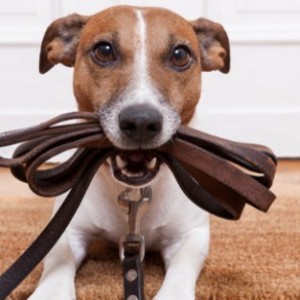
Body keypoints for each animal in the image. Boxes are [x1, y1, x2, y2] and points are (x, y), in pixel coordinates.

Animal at [28, 5, 230, 300]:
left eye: (180, 55)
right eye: (104, 50)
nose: (141, 122)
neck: (134, 192)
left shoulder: (191, 236)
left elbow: (181, 271)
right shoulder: (67, 230)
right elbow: (58, 260)